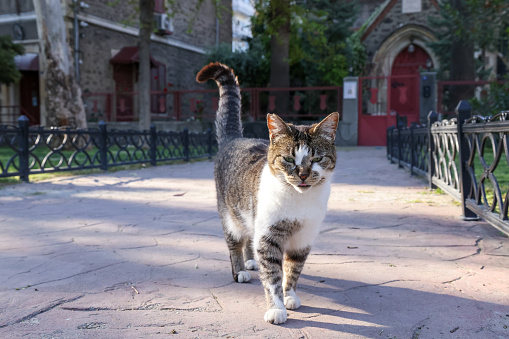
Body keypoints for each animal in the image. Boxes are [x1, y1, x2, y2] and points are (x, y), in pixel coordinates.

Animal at [197, 62, 338, 326]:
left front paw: (290, 295)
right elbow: (272, 275)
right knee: (235, 243)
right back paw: (241, 270)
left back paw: (251, 261)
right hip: (230, 215)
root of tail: (235, 138)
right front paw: (276, 308)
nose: (303, 174)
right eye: (289, 159)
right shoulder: (269, 236)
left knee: (249, 239)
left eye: (316, 158)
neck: (299, 200)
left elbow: (293, 270)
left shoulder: (303, 239)